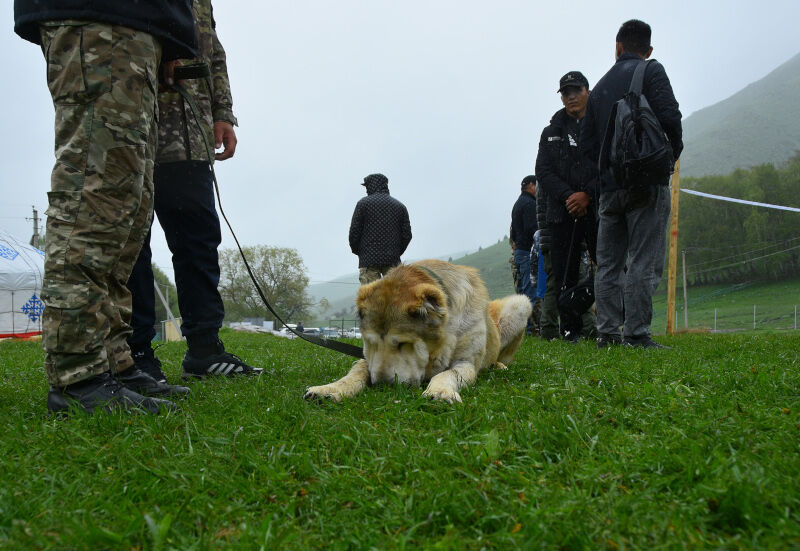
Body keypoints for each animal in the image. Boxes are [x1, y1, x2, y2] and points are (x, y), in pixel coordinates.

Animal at [304, 258, 532, 406]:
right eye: (371, 343)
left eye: (403, 343)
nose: (382, 386)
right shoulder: (366, 359)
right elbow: (354, 373)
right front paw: (330, 388)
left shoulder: (465, 363)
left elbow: (447, 373)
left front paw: (439, 391)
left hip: (521, 303)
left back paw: (499, 365)